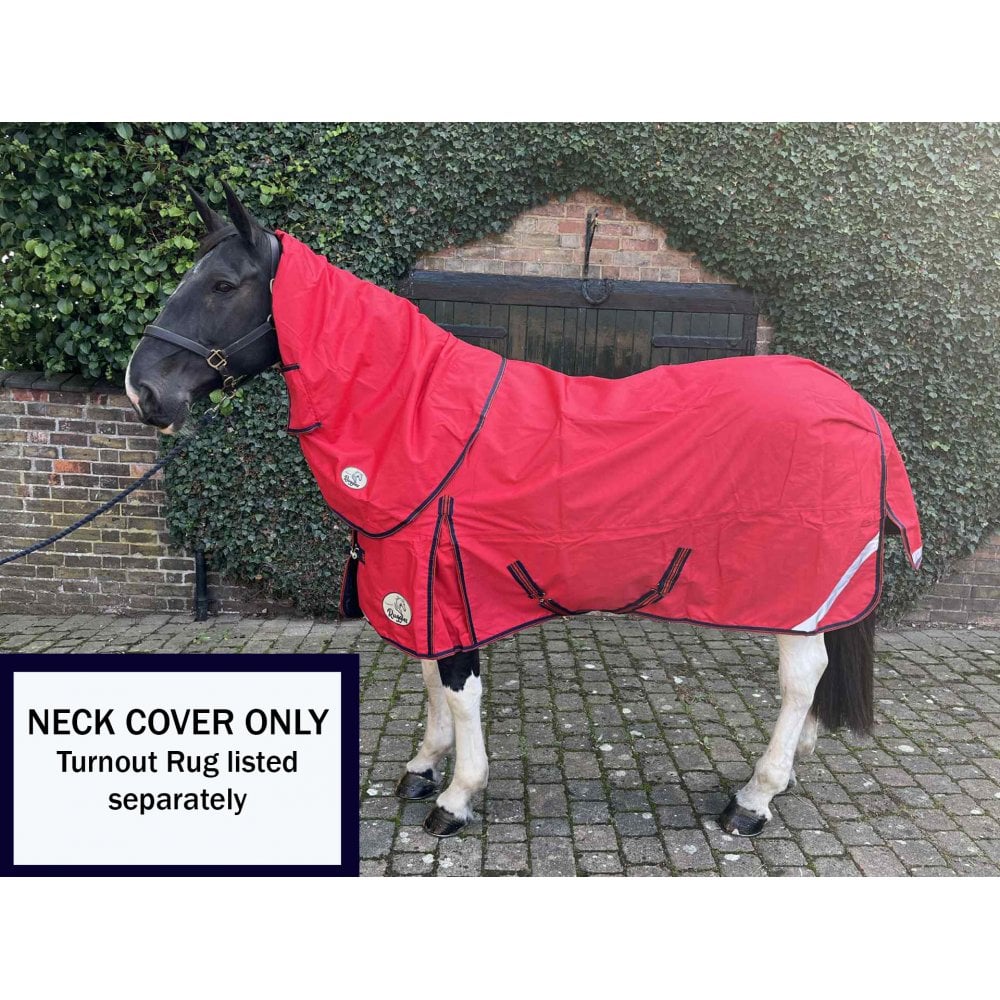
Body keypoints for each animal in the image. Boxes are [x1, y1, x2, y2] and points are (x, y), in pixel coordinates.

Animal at [125, 184, 922, 839]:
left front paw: (456, 798)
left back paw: (754, 798)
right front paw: (422, 769)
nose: (144, 391)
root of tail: (857, 407)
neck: (418, 419)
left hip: (798, 583)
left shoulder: (450, 578)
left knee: (801, 677)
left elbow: (460, 691)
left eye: (224, 284)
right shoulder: (421, 583)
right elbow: (428, 679)